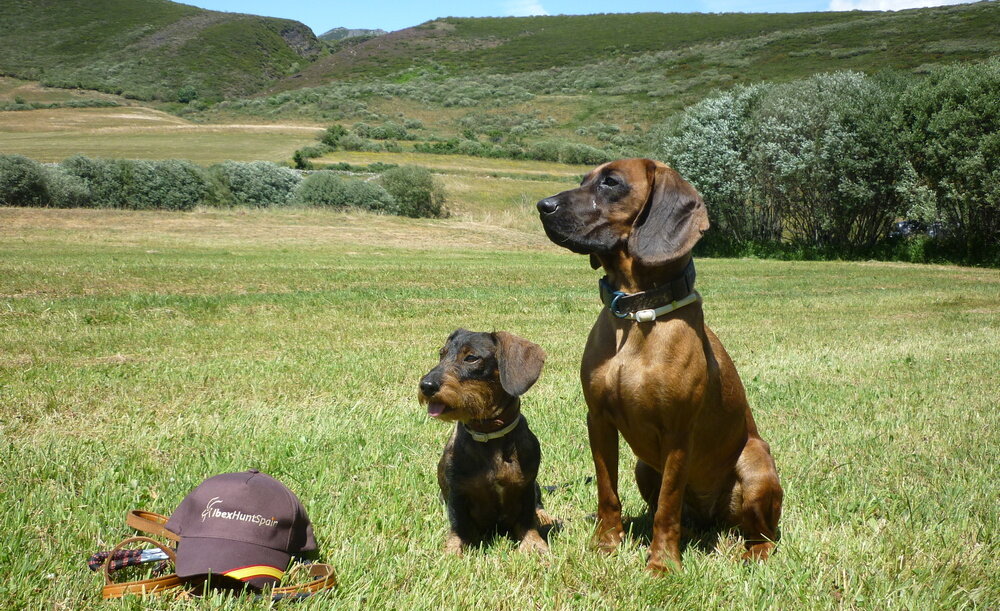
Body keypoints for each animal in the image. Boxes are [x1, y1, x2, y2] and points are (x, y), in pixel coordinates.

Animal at [418, 330, 552, 560]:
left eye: (471, 358)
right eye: (441, 354)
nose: (426, 386)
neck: (489, 436)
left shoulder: (526, 487)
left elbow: (527, 519)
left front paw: (534, 544)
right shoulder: (457, 493)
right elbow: (460, 526)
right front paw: (454, 550)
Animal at [540, 158, 780, 572]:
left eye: (611, 182)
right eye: (584, 179)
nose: (543, 206)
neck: (635, 316)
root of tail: (713, 517)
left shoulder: (678, 434)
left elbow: (668, 506)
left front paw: (663, 564)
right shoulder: (598, 421)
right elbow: (607, 492)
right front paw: (606, 545)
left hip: (755, 464)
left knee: (764, 534)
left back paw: (752, 552)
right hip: (644, 467)